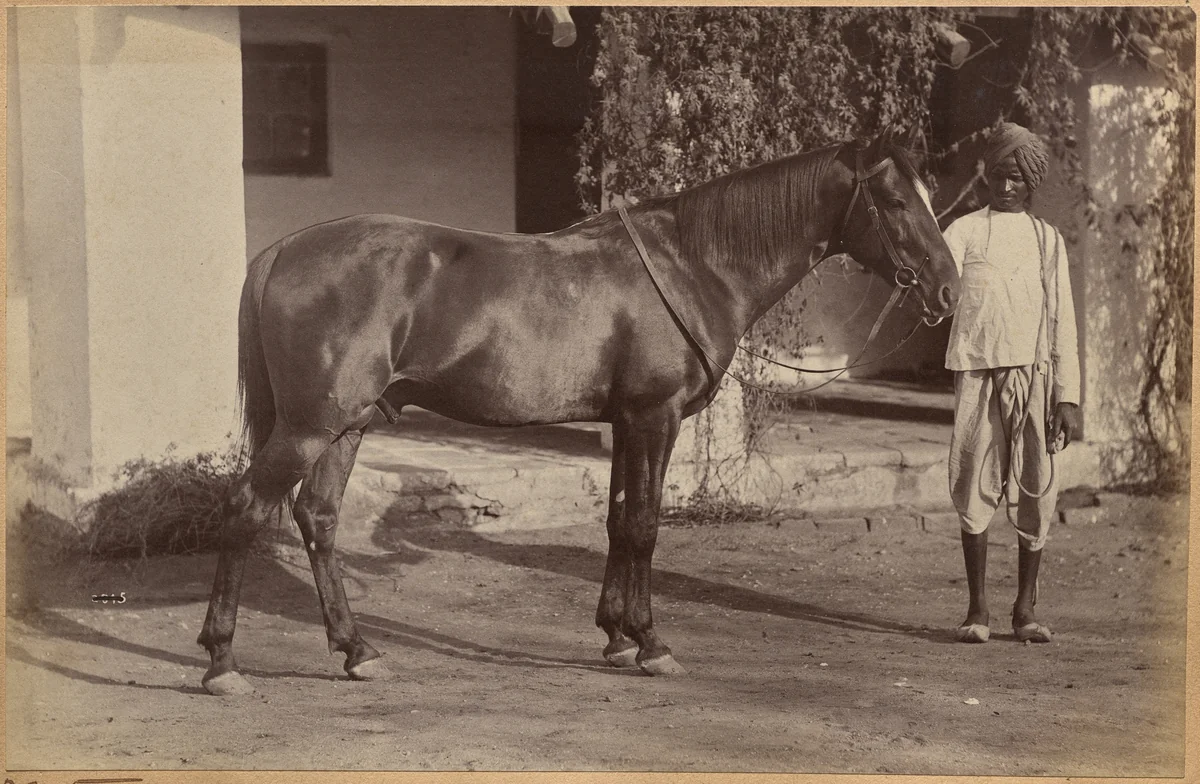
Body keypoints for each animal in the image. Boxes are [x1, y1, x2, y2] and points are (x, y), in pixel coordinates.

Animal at [197, 123, 960, 695]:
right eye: (894, 199)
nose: (949, 291)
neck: (694, 264)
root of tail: (283, 250)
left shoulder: (626, 422)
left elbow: (620, 521)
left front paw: (616, 636)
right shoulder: (655, 418)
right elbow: (646, 525)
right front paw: (651, 643)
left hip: (348, 425)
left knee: (318, 519)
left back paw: (358, 651)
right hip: (312, 426)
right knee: (244, 508)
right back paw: (223, 662)